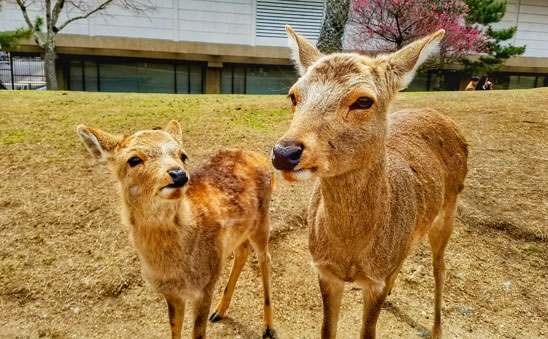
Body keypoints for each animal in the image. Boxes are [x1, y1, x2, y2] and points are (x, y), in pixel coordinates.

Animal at [77, 122, 276, 339]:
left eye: (183, 155)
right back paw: (219, 312)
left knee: (265, 258)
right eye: (134, 159)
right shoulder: (171, 293)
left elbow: (197, 333)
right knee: (242, 253)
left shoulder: (205, 284)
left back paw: (268, 327)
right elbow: (174, 327)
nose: (179, 174)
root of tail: (263, 157)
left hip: (262, 219)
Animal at [272, 27, 468, 339]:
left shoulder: (374, 283)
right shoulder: (325, 271)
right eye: (293, 95)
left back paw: (437, 329)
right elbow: (327, 330)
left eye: (363, 100)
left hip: (449, 208)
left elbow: (369, 332)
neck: (350, 255)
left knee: (440, 265)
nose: (284, 152)